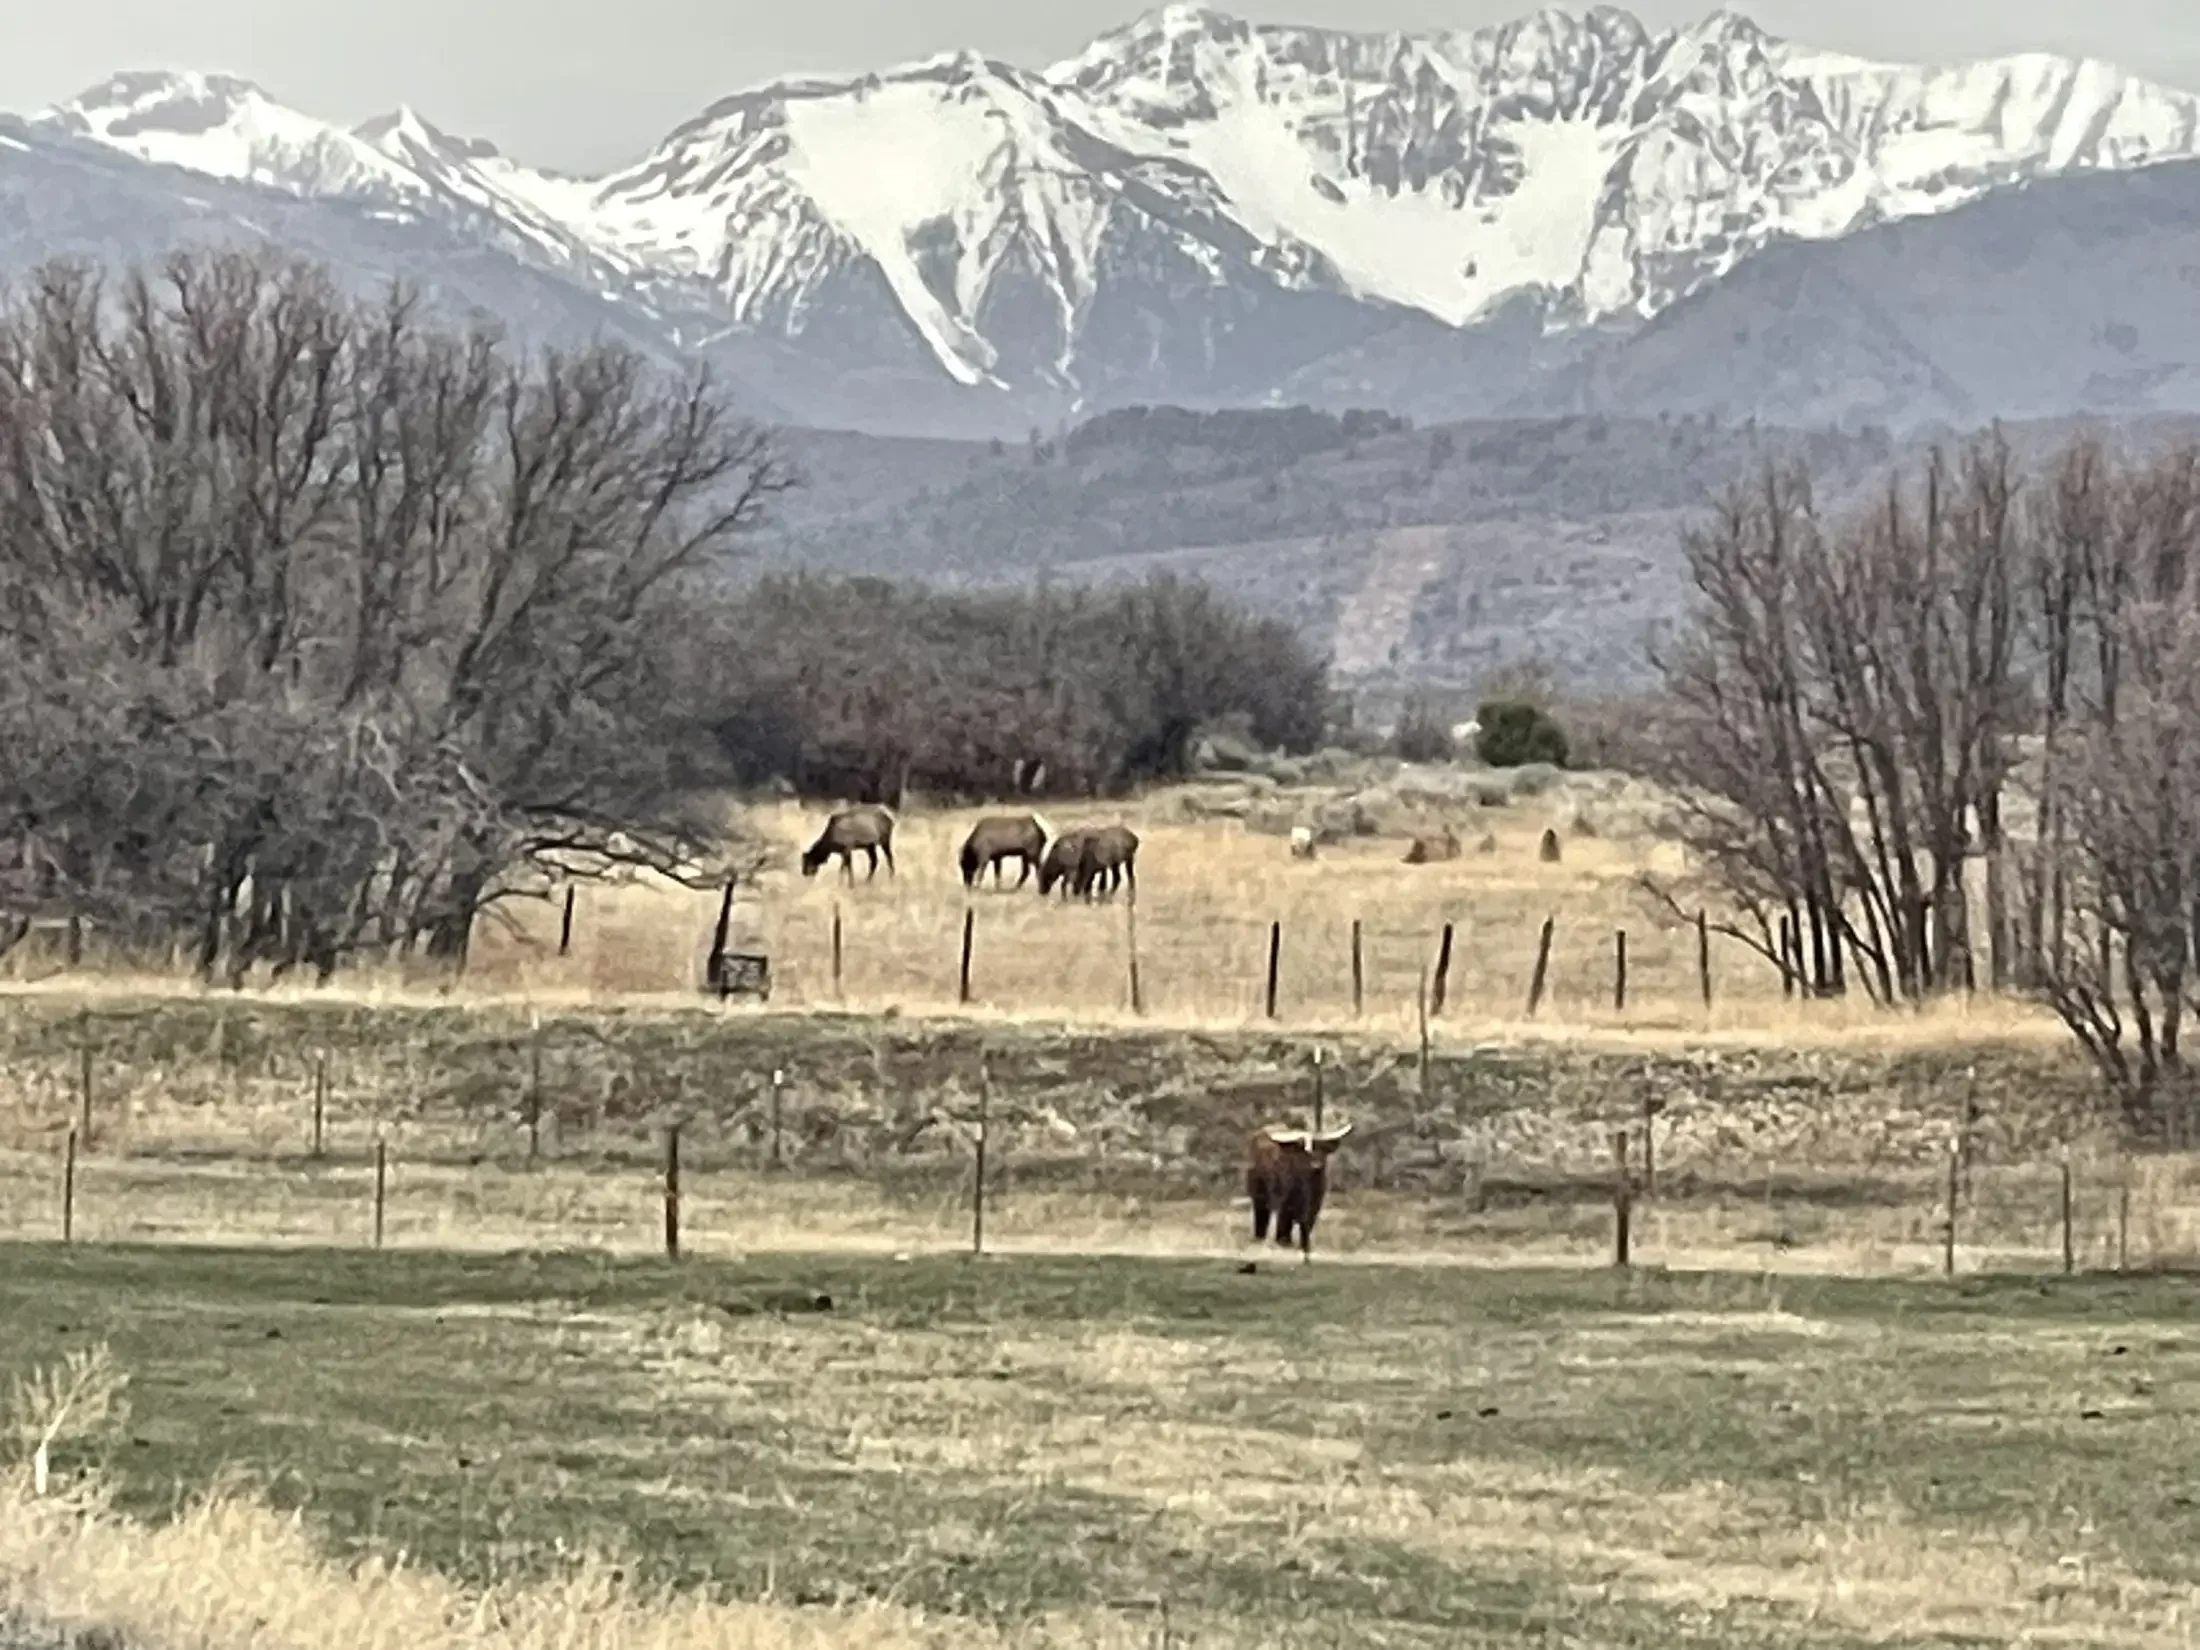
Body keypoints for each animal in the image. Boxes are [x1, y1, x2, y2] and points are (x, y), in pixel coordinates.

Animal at [1245, 1123, 1353, 1261]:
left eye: (1322, 1149)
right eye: (1305, 1151)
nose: (1316, 1165)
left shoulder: (1314, 1207)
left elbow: (1306, 1226)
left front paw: (1305, 1246)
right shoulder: (1285, 1205)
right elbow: (1284, 1225)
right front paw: (1284, 1243)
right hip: (1259, 1196)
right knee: (1261, 1217)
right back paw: (1259, 1238)